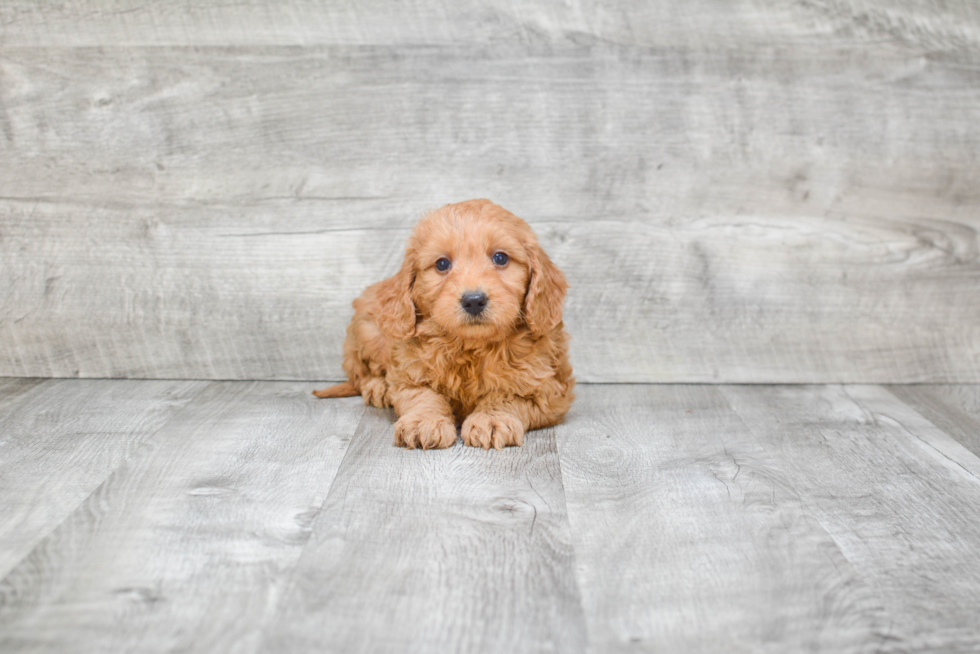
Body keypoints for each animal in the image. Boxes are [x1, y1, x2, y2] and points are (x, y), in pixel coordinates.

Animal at [314, 197, 576, 448]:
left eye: (500, 258)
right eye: (442, 264)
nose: (474, 300)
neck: (470, 347)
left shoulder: (546, 388)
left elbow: (508, 396)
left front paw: (492, 418)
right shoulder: (409, 374)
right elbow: (423, 396)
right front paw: (423, 421)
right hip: (368, 330)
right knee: (360, 374)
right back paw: (378, 388)